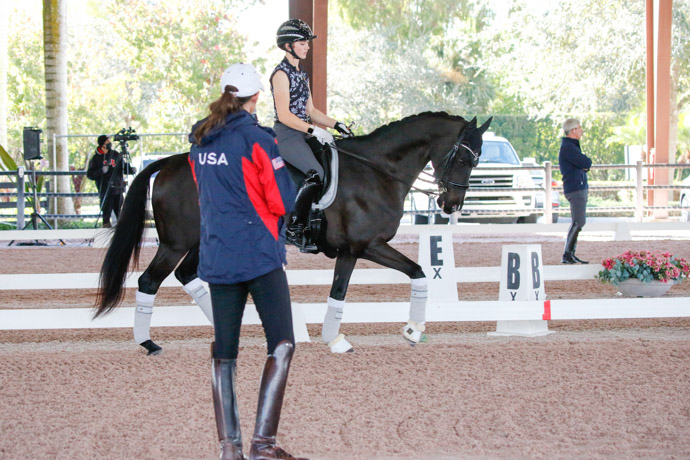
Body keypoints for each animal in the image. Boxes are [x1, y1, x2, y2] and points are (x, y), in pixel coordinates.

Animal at [94, 112, 490, 356]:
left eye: (477, 159)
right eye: (463, 159)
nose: (451, 204)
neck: (377, 172)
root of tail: (170, 162)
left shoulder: (363, 249)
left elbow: (418, 273)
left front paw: (413, 329)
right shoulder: (362, 247)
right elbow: (341, 293)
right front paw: (337, 340)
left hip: (201, 241)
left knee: (186, 275)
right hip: (176, 242)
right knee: (149, 281)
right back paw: (148, 343)